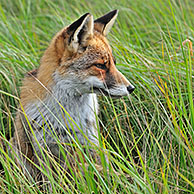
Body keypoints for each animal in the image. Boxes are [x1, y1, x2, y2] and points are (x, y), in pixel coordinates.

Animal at [11, 9, 134, 179]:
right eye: (101, 65)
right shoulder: (43, 149)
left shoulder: (90, 142)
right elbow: (51, 181)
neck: (68, 118)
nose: (131, 88)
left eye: (114, 64)